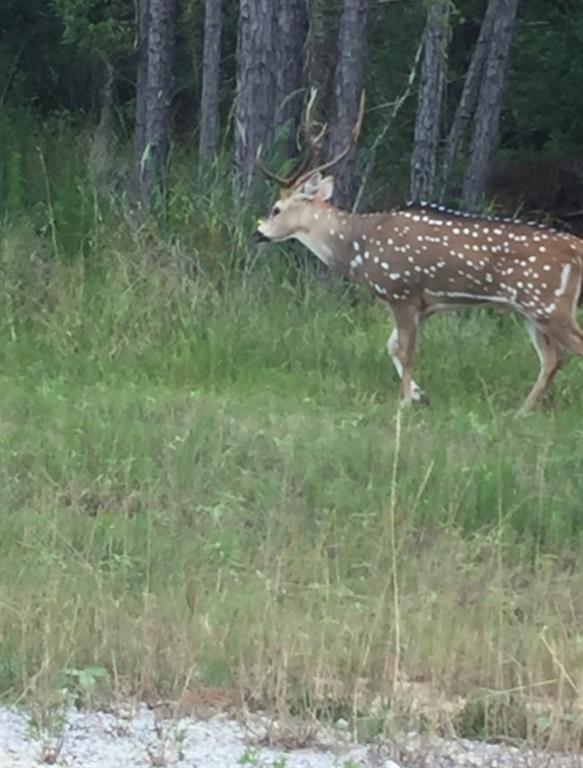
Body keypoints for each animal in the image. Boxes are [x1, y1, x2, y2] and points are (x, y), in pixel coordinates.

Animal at [256, 91, 583, 414]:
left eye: (276, 209)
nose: (258, 233)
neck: (359, 247)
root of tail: (576, 248)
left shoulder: (402, 292)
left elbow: (405, 350)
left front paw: (404, 403)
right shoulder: (426, 304)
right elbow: (392, 347)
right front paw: (419, 394)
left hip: (548, 302)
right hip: (528, 309)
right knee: (552, 359)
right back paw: (520, 411)